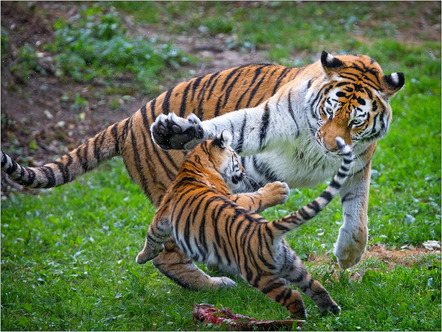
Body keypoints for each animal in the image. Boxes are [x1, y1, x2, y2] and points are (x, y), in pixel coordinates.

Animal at [1, 50, 406, 290]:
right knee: (166, 255)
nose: (332, 145)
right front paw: (183, 131)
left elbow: (358, 217)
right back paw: (215, 285)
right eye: (328, 110)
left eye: (356, 121)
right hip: (187, 202)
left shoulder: (359, 163)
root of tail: (127, 121)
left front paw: (347, 256)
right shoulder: (267, 119)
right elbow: (234, 125)